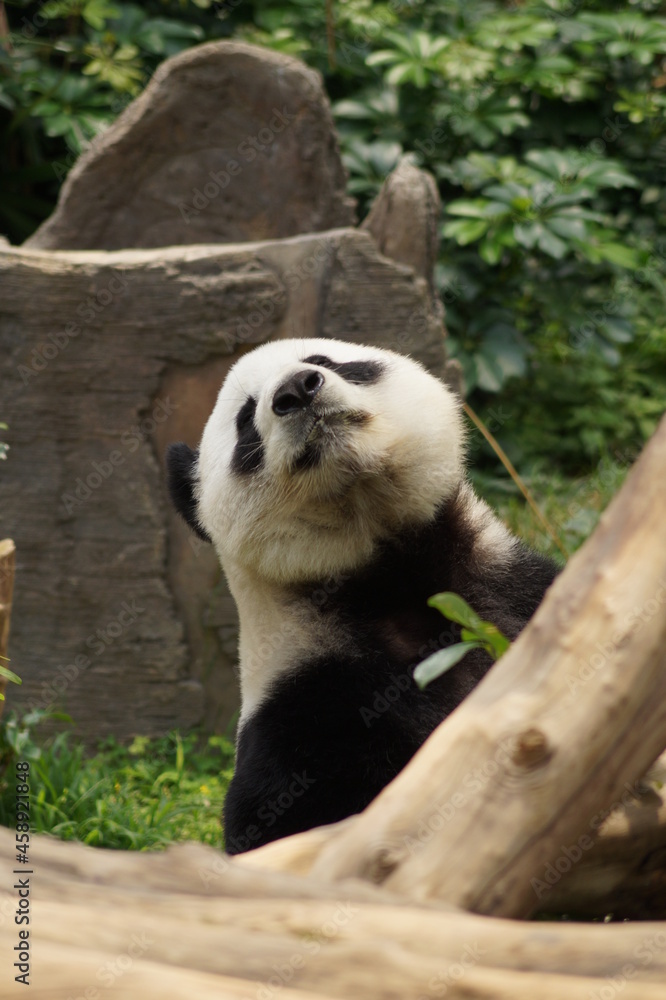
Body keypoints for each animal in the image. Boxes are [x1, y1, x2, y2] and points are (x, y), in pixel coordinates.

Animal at [167, 337, 557, 855]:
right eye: (245, 419)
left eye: (322, 362)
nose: (297, 389)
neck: (383, 576)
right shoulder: (305, 712)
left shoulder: (512, 593)